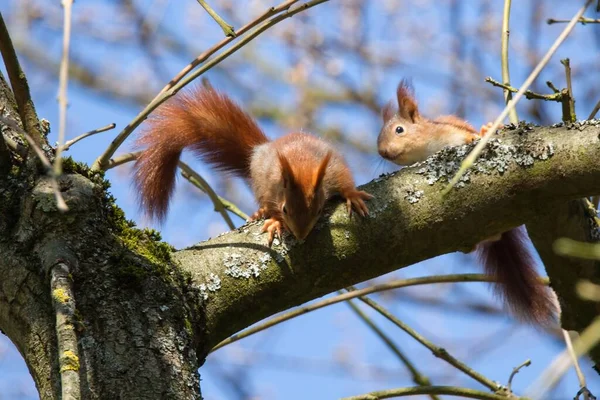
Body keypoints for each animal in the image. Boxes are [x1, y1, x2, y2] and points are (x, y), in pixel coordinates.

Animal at [134, 86, 372, 245]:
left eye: (320, 209)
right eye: (285, 209)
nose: (301, 236)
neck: (301, 165)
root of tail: (264, 146)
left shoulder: (333, 168)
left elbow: (345, 181)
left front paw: (353, 196)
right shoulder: (270, 186)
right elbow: (272, 206)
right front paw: (275, 221)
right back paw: (261, 212)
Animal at [378, 79, 556, 324]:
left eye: (399, 130)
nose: (382, 152)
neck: (425, 149)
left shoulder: (452, 131)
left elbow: (468, 136)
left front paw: (479, 133)